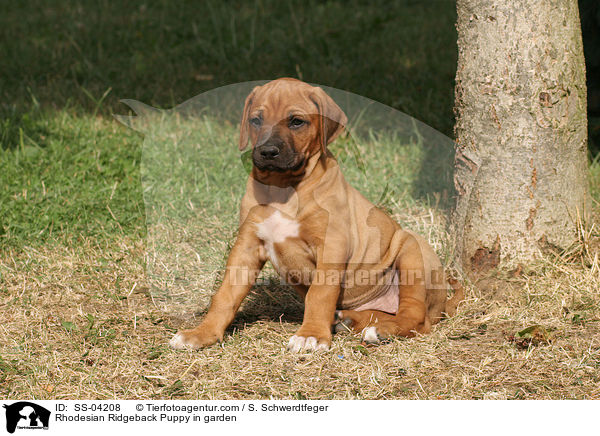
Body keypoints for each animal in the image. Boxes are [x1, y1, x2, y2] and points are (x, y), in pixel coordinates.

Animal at [170, 77, 464, 350]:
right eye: (256, 120)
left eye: (296, 122)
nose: (267, 151)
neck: (283, 188)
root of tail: (442, 302)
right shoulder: (247, 246)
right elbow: (225, 294)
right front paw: (203, 333)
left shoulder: (331, 245)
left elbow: (320, 294)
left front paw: (310, 335)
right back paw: (349, 320)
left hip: (412, 252)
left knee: (417, 318)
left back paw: (381, 331)